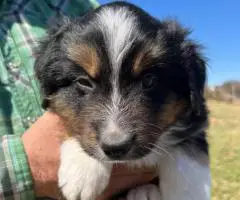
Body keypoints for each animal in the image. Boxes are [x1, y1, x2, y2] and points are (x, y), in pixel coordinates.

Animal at [34, 1, 211, 200]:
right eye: (83, 82)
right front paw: (83, 169)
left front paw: (188, 192)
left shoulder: (196, 115)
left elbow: (187, 151)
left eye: (148, 80)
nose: (116, 147)